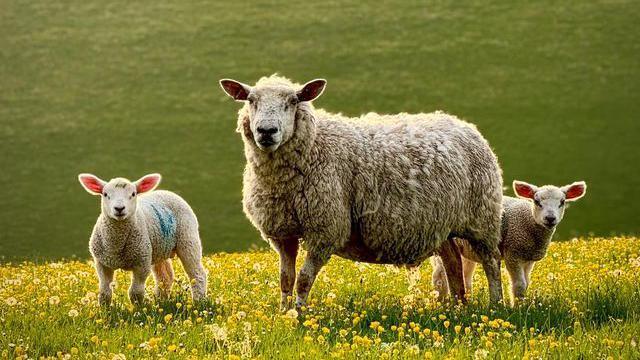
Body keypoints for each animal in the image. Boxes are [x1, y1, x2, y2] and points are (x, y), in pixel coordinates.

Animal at [220, 74, 504, 308]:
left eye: (293, 101)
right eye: (251, 100)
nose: (266, 131)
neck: (314, 144)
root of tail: (464, 124)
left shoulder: (326, 230)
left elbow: (303, 279)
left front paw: (298, 316)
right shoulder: (283, 233)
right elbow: (286, 279)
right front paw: (283, 313)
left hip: (483, 218)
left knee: (491, 262)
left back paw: (495, 305)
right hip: (443, 225)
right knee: (453, 263)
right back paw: (458, 307)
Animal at [432, 180, 588, 304]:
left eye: (562, 202)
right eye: (537, 202)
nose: (550, 218)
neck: (528, 222)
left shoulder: (528, 259)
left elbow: (526, 283)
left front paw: (522, 305)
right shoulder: (513, 253)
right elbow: (519, 285)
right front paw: (517, 307)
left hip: (467, 248)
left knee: (465, 275)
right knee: (440, 275)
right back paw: (442, 301)